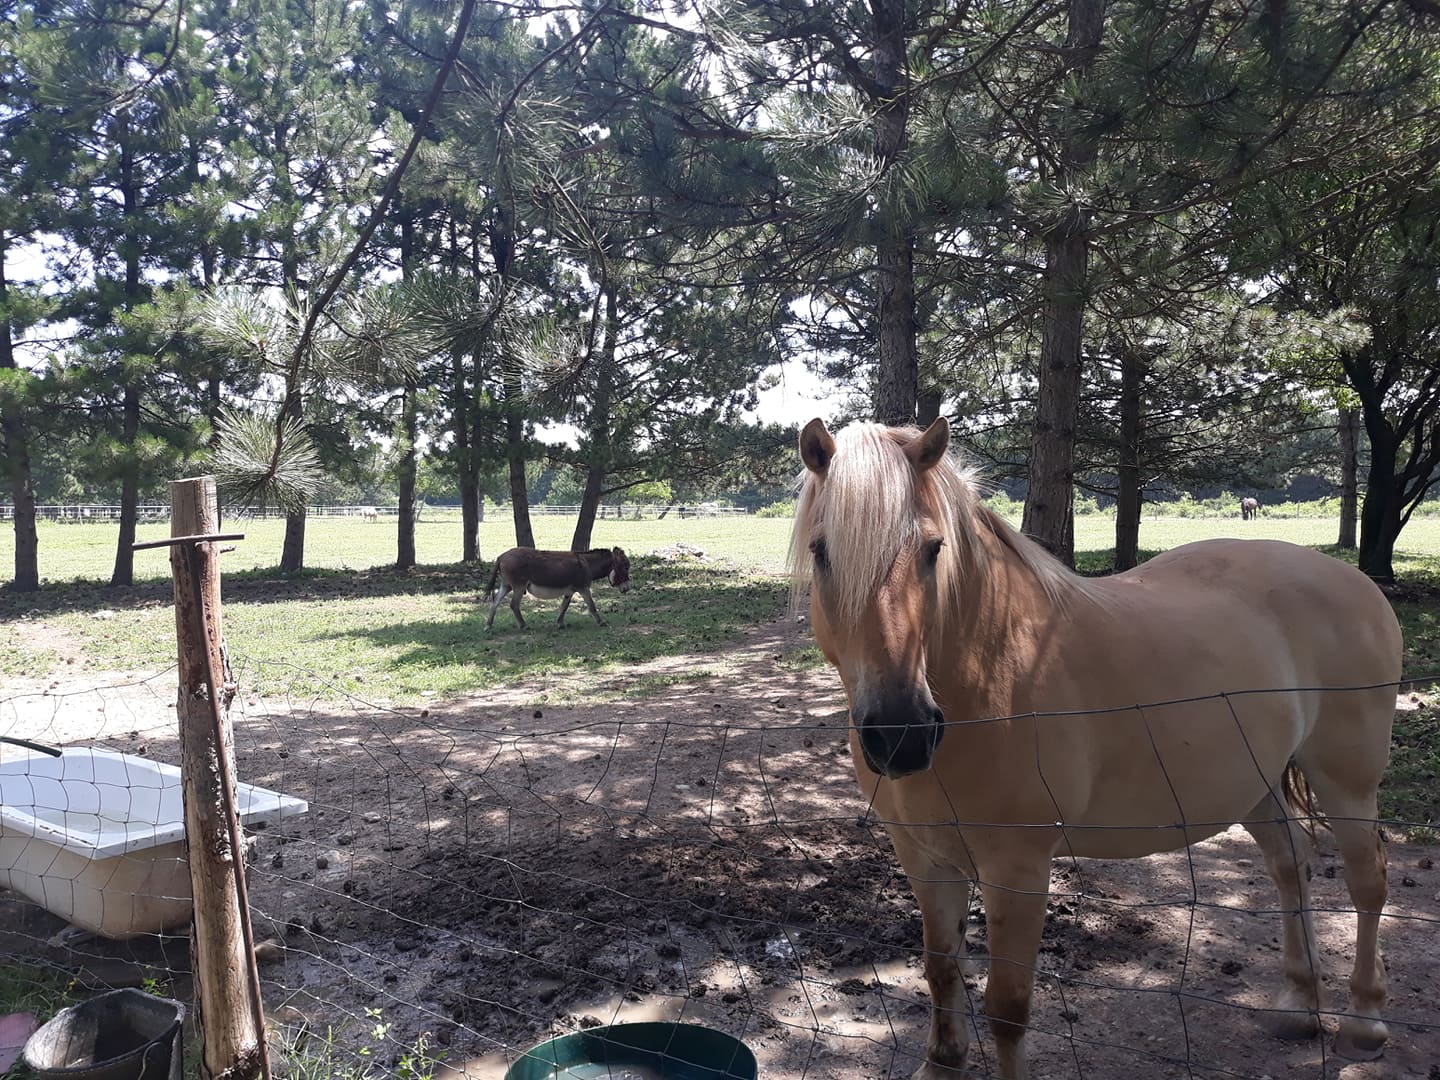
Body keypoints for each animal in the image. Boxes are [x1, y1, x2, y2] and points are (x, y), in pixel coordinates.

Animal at [484, 546, 631, 630]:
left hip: (506, 585)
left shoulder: (570, 591)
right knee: (513, 604)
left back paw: (488, 626)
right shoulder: (583, 588)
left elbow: (563, 607)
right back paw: (524, 626)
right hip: (519, 587)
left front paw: (560, 624)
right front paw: (601, 622)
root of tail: (502, 556)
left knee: (495, 602)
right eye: (626, 567)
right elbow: (592, 606)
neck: (587, 564)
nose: (627, 589)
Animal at [790, 417, 1400, 1080]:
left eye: (933, 549)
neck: (988, 668)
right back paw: (1297, 1002)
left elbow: (1007, 1008)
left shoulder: (1018, 871)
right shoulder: (924, 859)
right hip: (1253, 785)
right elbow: (941, 969)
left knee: (1367, 881)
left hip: (1347, 780)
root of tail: (1355, 581)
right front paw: (941, 1062)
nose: (901, 733)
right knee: (1292, 865)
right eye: (821, 551)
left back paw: (1365, 1019)